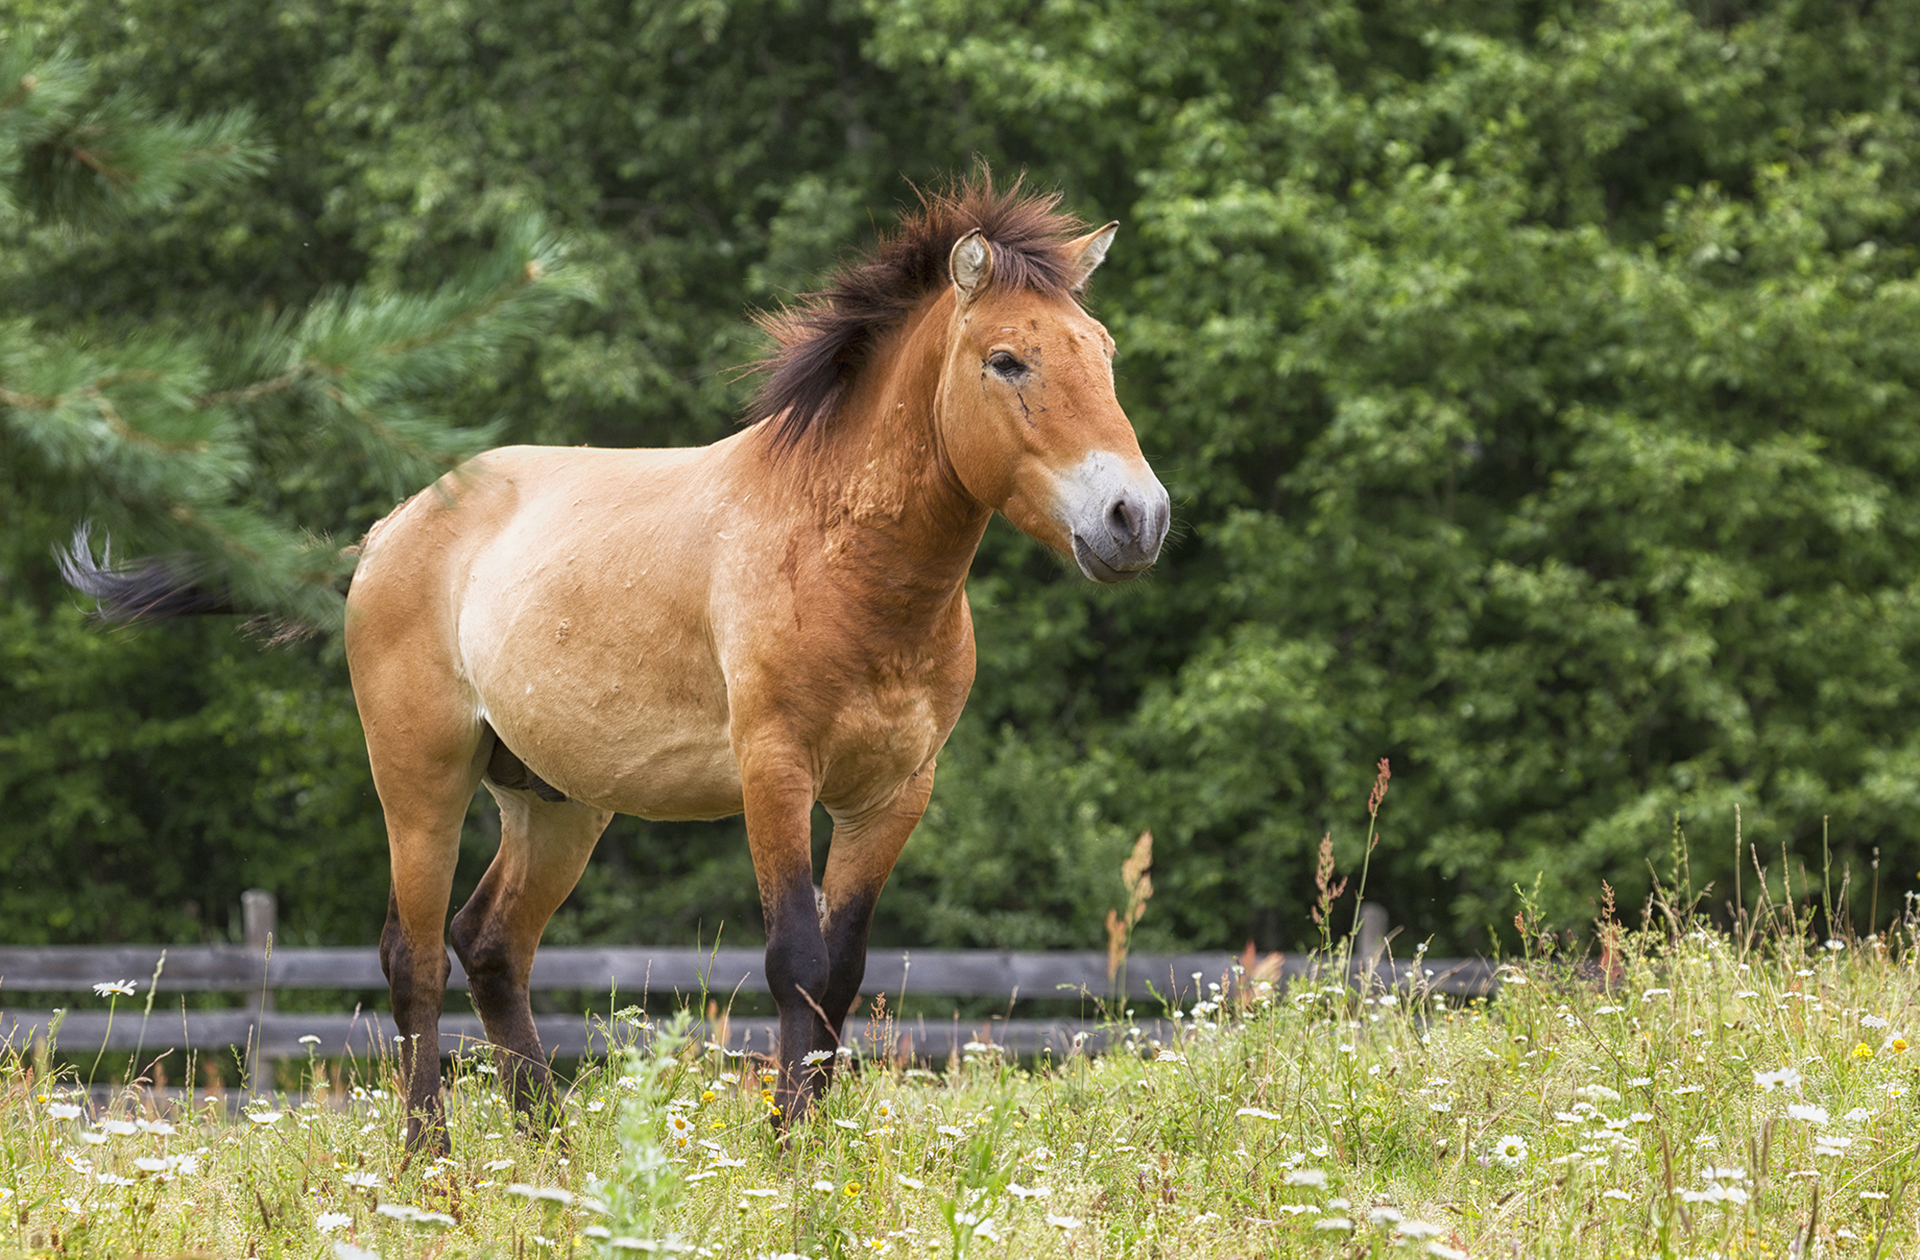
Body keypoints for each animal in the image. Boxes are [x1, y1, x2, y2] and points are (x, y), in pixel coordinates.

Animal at [71, 176, 1167, 1152]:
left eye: (1105, 353)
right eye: (1008, 360)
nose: (1137, 518)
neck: (843, 555)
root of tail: (385, 532)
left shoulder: (894, 792)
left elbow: (843, 972)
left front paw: (816, 1150)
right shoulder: (776, 771)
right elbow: (795, 959)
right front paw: (786, 1158)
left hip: (553, 801)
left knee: (491, 944)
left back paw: (552, 1153)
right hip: (420, 777)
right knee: (414, 955)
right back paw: (429, 1161)